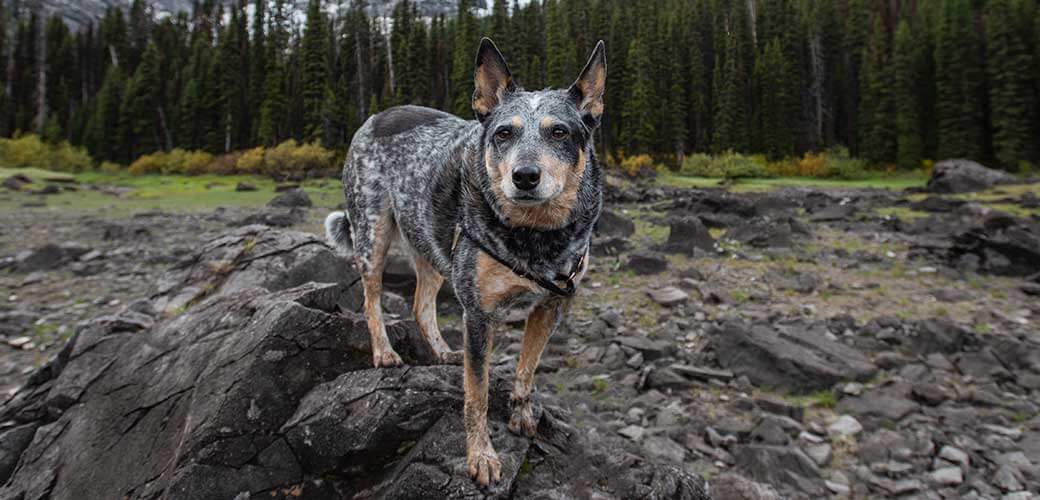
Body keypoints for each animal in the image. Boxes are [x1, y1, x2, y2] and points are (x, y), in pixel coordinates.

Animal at [320, 37, 607, 482]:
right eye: (504, 133)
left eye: (559, 132)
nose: (525, 176)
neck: (535, 235)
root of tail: (379, 115)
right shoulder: (479, 315)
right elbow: (477, 395)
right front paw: (481, 456)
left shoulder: (551, 305)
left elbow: (527, 369)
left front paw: (522, 414)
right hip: (372, 234)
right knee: (371, 300)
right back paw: (384, 352)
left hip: (432, 245)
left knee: (421, 306)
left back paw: (441, 351)